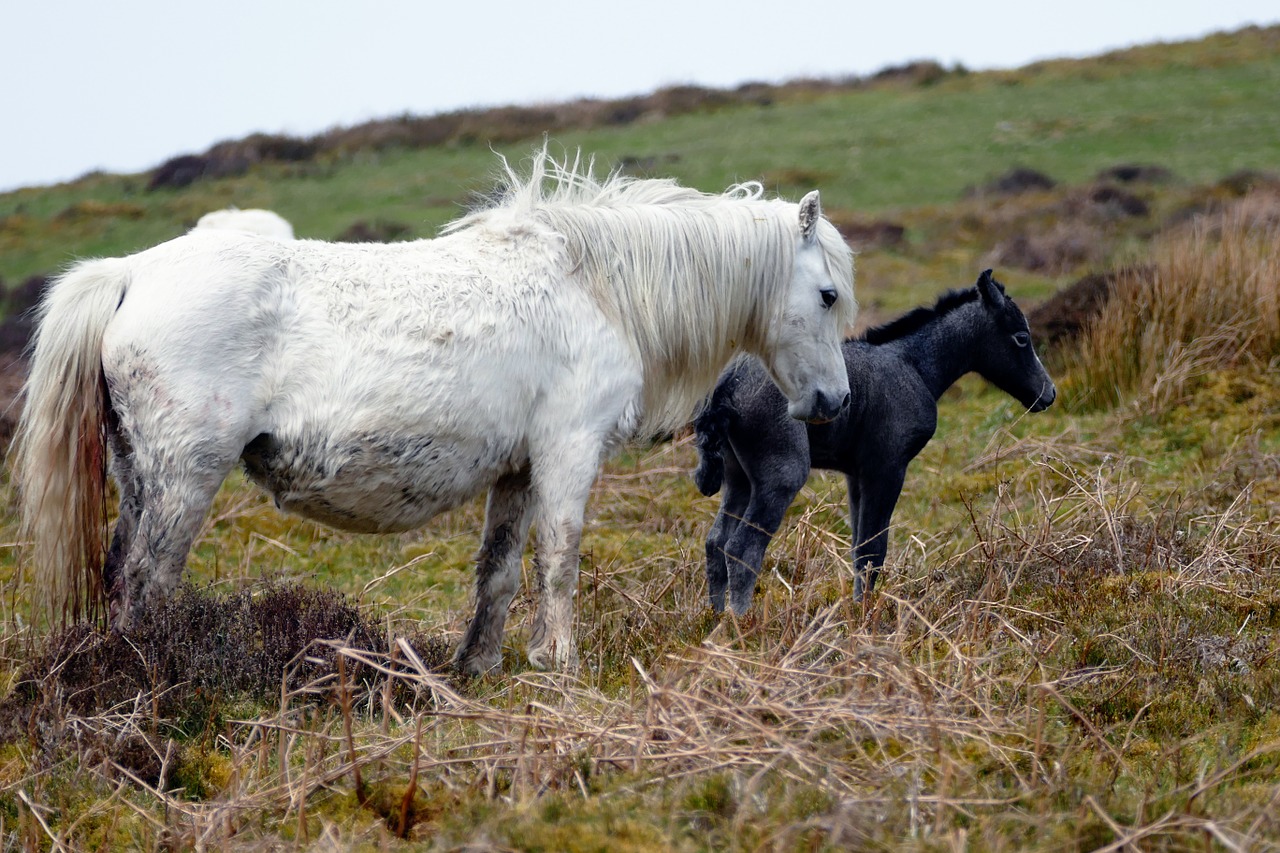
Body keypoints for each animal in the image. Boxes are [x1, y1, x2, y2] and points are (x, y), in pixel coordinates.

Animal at [12, 149, 860, 676]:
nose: (834, 402)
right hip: (184, 479)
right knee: (146, 581)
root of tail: (129, 274)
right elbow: (560, 556)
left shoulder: (518, 469)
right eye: (826, 294)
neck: (593, 287)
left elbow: (500, 570)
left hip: (141, 474)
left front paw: (479, 664)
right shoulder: (568, 450)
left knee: (122, 573)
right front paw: (560, 661)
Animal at [696, 268, 1054, 607]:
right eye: (1021, 337)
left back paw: (716, 622)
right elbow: (873, 551)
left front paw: (858, 610)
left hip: (738, 475)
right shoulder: (887, 468)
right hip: (782, 473)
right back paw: (743, 625)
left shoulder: (857, 474)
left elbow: (860, 548)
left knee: (716, 543)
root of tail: (727, 386)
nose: (1048, 393)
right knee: (743, 549)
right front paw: (866, 616)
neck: (913, 366)